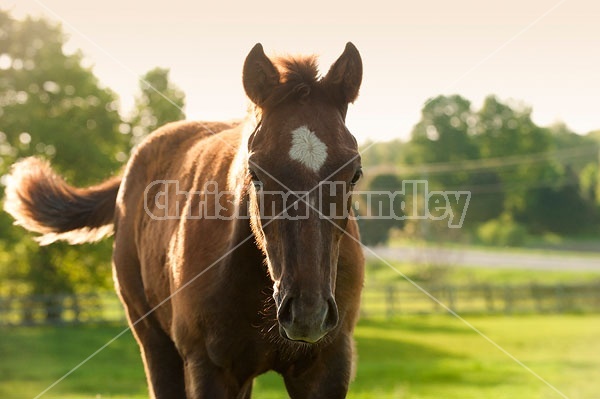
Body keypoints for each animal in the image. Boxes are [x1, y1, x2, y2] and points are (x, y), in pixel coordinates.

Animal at [4, 42, 364, 398]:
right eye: (256, 174)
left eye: (355, 174)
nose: (308, 314)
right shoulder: (208, 367)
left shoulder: (327, 368)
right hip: (155, 343)